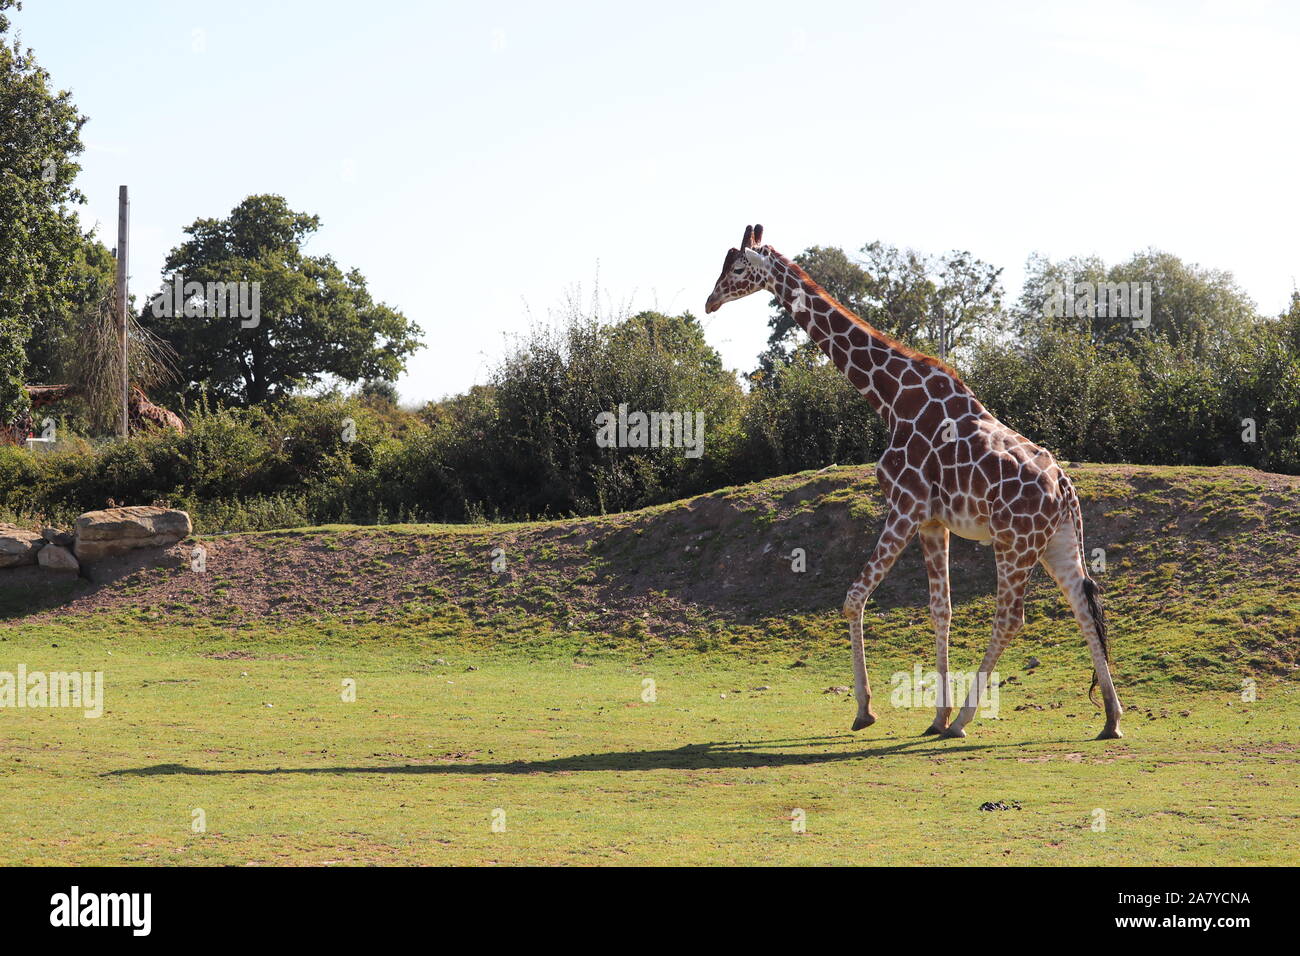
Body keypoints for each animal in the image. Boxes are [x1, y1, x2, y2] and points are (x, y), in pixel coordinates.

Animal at [707, 226, 1123, 738]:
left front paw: (866, 710)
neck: (890, 397)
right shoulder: (932, 521)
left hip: (1014, 542)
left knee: (1011, 617)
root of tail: (1065, 490)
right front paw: (934, 715)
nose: (709, 301)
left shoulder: (905, 506)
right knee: (1084, 605)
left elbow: (854, 598)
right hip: (1055, 541)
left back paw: (966, 719)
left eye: (737, 268)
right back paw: (1111, 718)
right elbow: (940, 610)